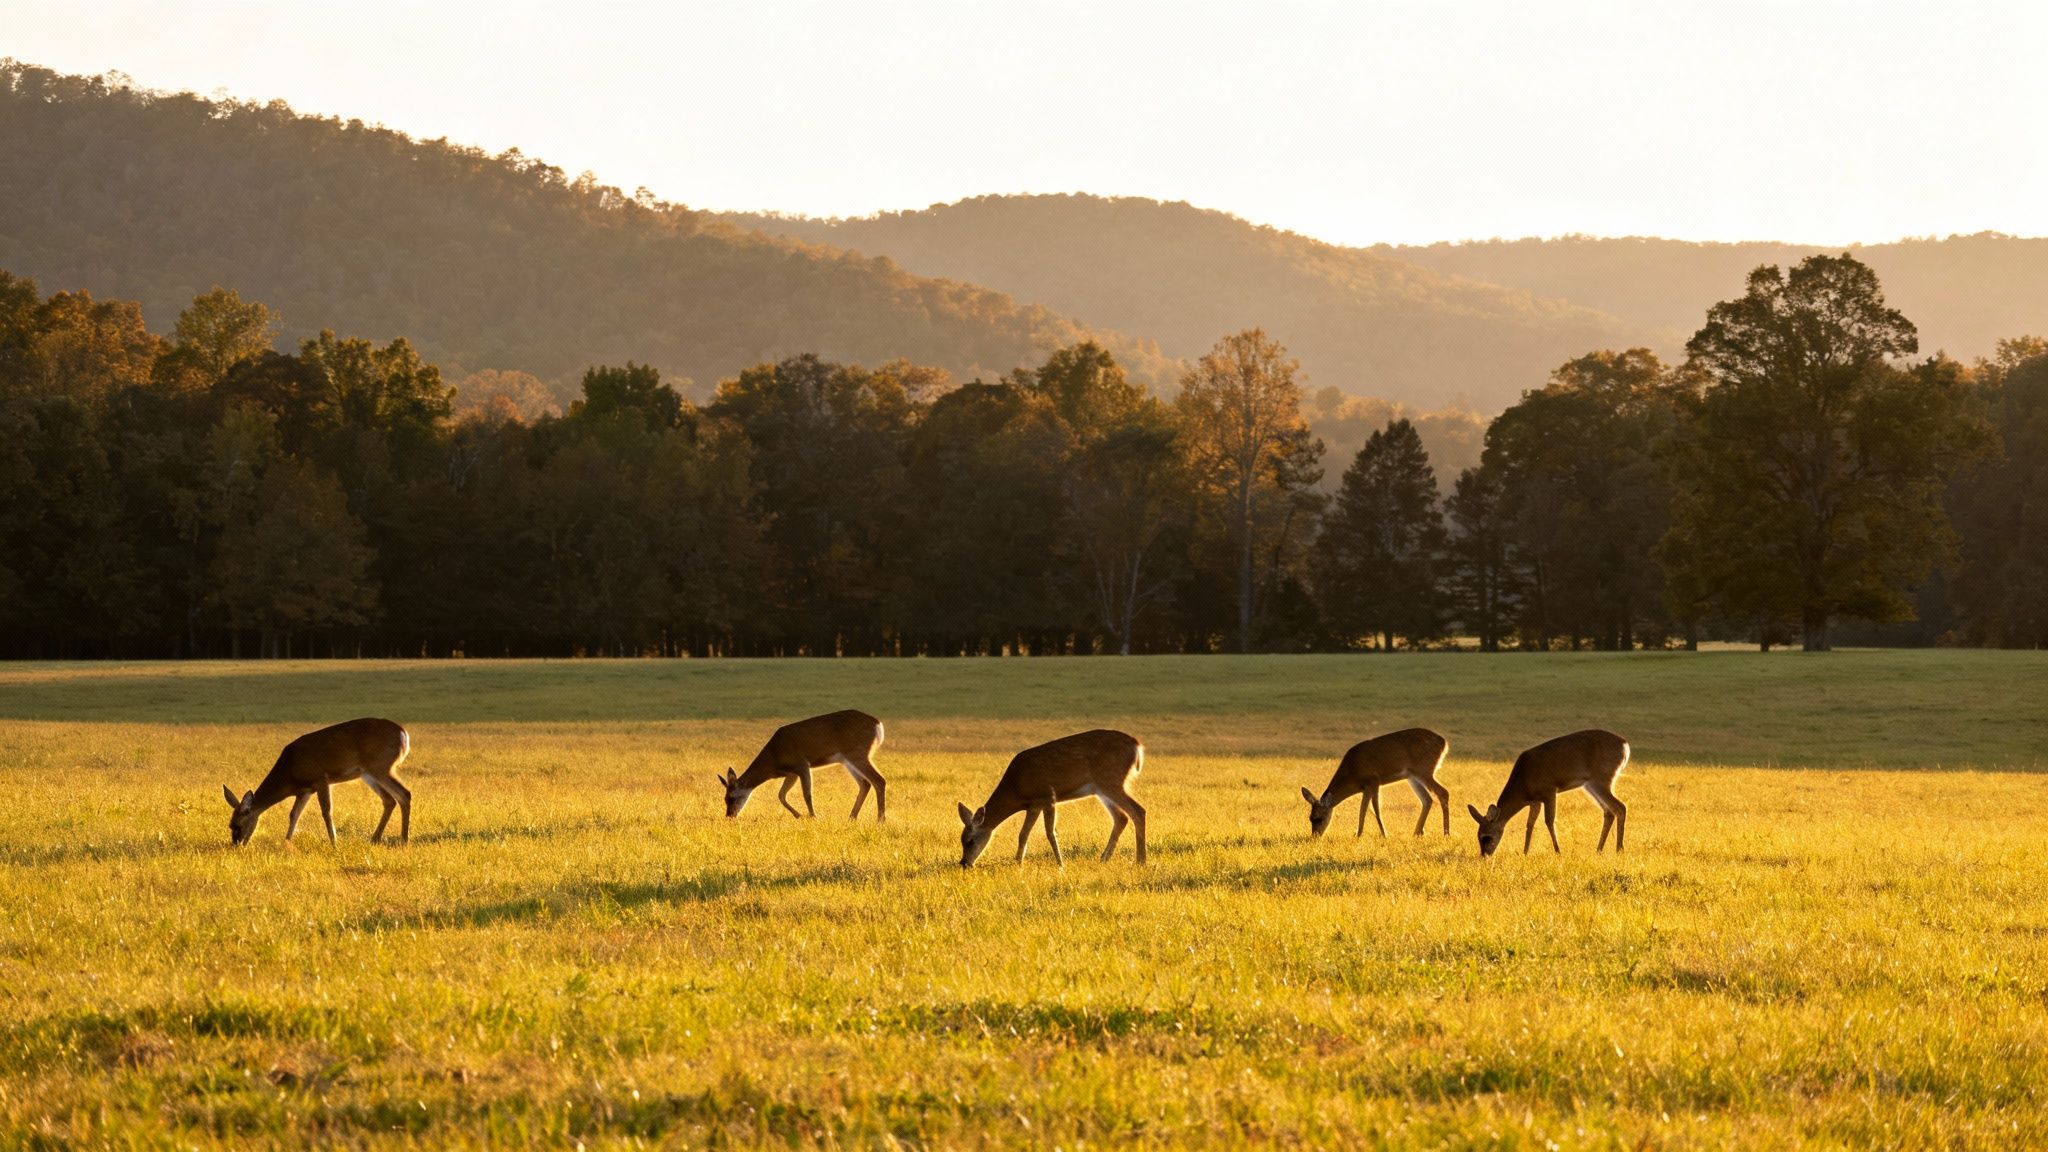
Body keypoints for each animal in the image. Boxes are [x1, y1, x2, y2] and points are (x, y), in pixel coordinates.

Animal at [221, 717, 413, 846]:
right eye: (229, 825)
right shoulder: (305, 790)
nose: (237, 845)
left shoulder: (321, 779)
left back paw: (404, 840)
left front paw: (334, 843)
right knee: (389, 799)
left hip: (380, 766)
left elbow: (326, 811)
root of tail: (403, 734)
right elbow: (294, 814)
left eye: (237, 825)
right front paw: (287, 842)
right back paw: (375, 838)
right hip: (368, 774)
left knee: (404, 794)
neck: (289, 771)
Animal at [720, 710, 887, 821]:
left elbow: (807, 794)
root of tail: (877, 723)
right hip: (848, 759)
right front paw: (799, 816)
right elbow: (781, 795)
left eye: (731, 798)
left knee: (879, 780)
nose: (729, 816)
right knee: (865, 783)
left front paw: (813, 817)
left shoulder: (801, 764)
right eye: (724, 799)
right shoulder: (791, 773)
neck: (774, 758)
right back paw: (852, 817)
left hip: (858, 753)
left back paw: (880, 820)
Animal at [957, 729, 1146, 868]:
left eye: (970, 841)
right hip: (1102, 789)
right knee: (1122, 817)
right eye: (962, 841)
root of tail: (1136, 745)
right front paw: (1018, 863)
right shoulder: (1034, 804)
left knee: (1138, 810)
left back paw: (1140, 861)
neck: (1016, 787)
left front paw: (1060, 865)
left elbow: (1050, 833)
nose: (964, 863)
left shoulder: (1048, 796)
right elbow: (1023, 834)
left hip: (1110, 780)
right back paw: (1104, 859)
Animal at [1300, 727, 1452, 838]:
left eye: (1318, 818)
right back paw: (1417, 832)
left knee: (1443, 792)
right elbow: (1367, 809)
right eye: (1310, 818)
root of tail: (1443, 742)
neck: (1351, 773)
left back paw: (1446, 833)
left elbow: (1372, 809)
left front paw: (1378, 834)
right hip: (1413, 776)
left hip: (1424, 769)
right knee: (1427, 799)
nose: (1315, 836)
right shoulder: (1366, 787)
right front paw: (1360, 833)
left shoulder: (1373, 780)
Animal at [1467, 729, 1629, 856]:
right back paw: (1599, 850)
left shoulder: (1549, 790)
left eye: (1487, 837)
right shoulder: (1535, 801)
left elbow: (1549, 821)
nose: (1484, 855)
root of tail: (1625, 745)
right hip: (1591, 784)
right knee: (1609, 812)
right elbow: (1530, 824)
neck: (1523, 784)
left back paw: (1619, 849)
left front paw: (1558, 851)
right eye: (1478, 836)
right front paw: (1525, 852)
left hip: (1601, 778)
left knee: (1620, 807)